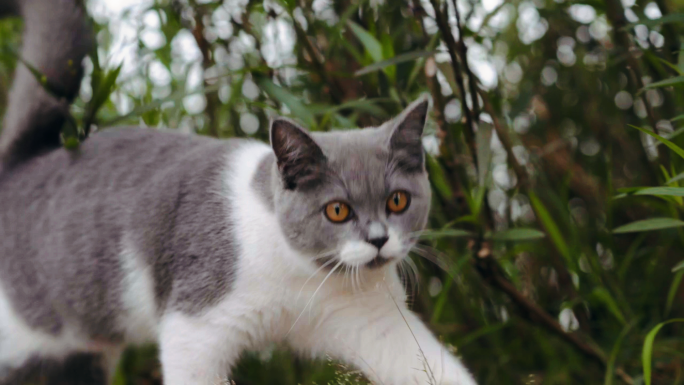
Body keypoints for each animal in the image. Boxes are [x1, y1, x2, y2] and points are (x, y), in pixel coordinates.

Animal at [0, 0, 476, 384]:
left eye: (397, 201)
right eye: (338, 211)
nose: (378, 239)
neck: (302, 276)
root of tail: (20, 162)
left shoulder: (374, 321)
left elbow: (432, 366)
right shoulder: (196, 327)